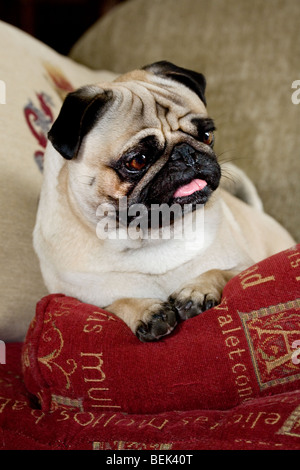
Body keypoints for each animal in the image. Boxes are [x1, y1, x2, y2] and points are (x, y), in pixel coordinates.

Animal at [33, 61, 296, 342]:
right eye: (137, 161)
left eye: (206, 135)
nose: (186, 154)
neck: (152, 237)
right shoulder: (80, 299)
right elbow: (113, 305)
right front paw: (144, 311)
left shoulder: (246, 266)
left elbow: (222, 272)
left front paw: (197, 290)